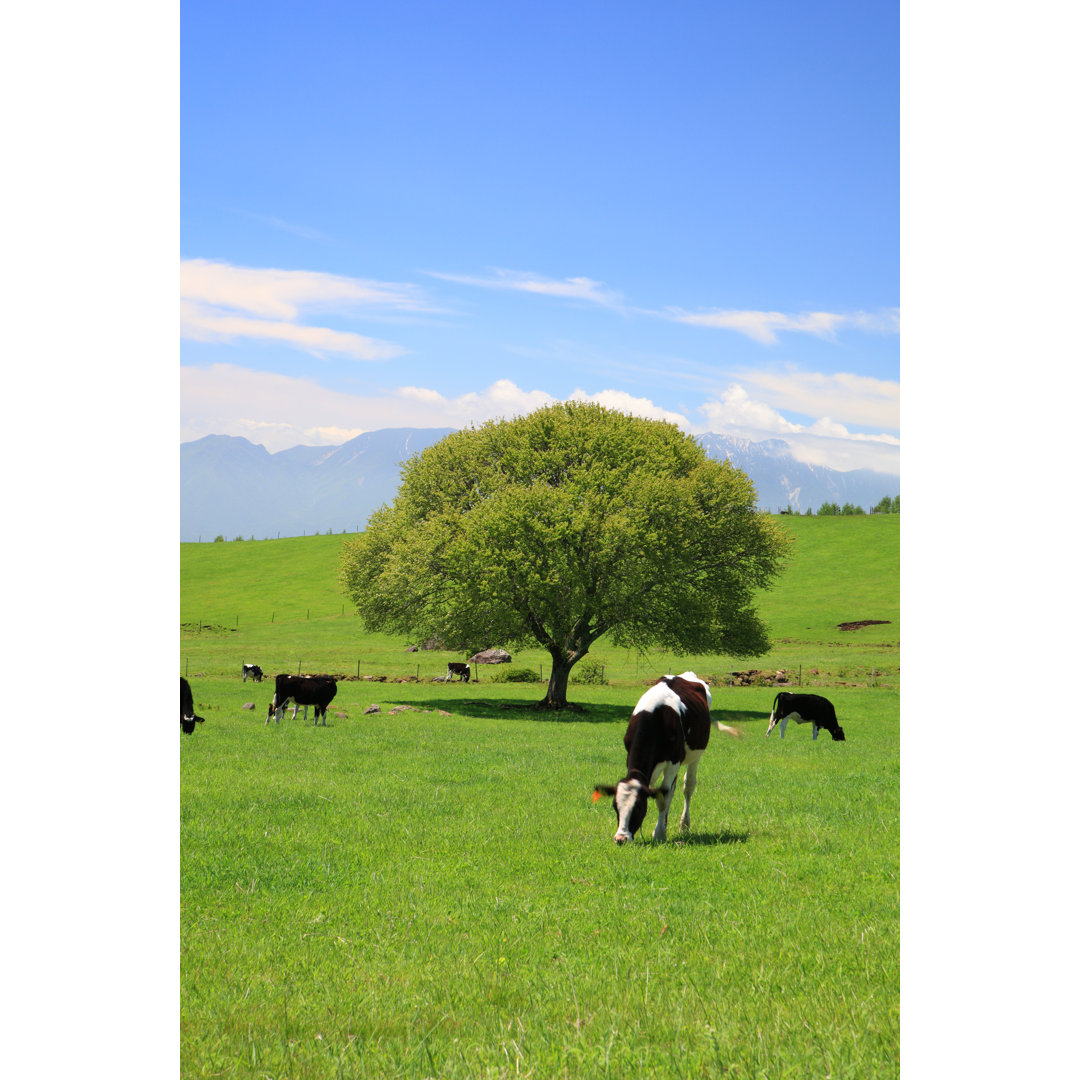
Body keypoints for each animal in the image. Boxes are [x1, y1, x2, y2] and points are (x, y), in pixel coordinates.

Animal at [591, 673, 743, 842]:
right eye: (615, 806)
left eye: (638, 807)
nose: (621, 839)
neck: (655, 718)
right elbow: (660, 792)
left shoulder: (673, 761)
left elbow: (663, 798)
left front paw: (659, 834)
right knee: (672, 788)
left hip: (695, 755)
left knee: (687, 787)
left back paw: (684, 825)